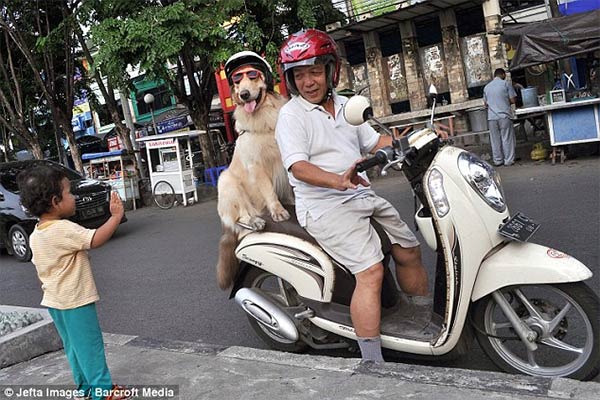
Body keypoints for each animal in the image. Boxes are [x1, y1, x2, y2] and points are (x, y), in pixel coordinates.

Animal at [216, 56, 292, 290]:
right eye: (237, 80)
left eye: (252, 76)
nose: (243, 94)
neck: (263, 115)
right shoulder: (257, 166)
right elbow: (269, 191)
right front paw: (278, 210)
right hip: (226, 180)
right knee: (240, 219)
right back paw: (254, 221)